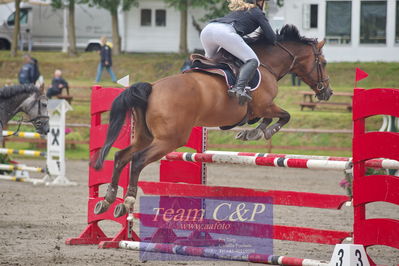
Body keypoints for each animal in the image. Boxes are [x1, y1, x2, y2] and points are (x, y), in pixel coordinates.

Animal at [94, 23, 334, 217]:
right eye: (323, 62)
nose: (328, 92)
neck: (266, 65)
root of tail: (152, 88)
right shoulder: (264, 105)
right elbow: (284, 115)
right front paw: (262, 132)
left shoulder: (259, 110)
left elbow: (266, 119)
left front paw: (251, 132)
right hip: (169, 140)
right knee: (138, 160)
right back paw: (127, 201)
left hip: (145, 136)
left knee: (121, 157)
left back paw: (107, 201)